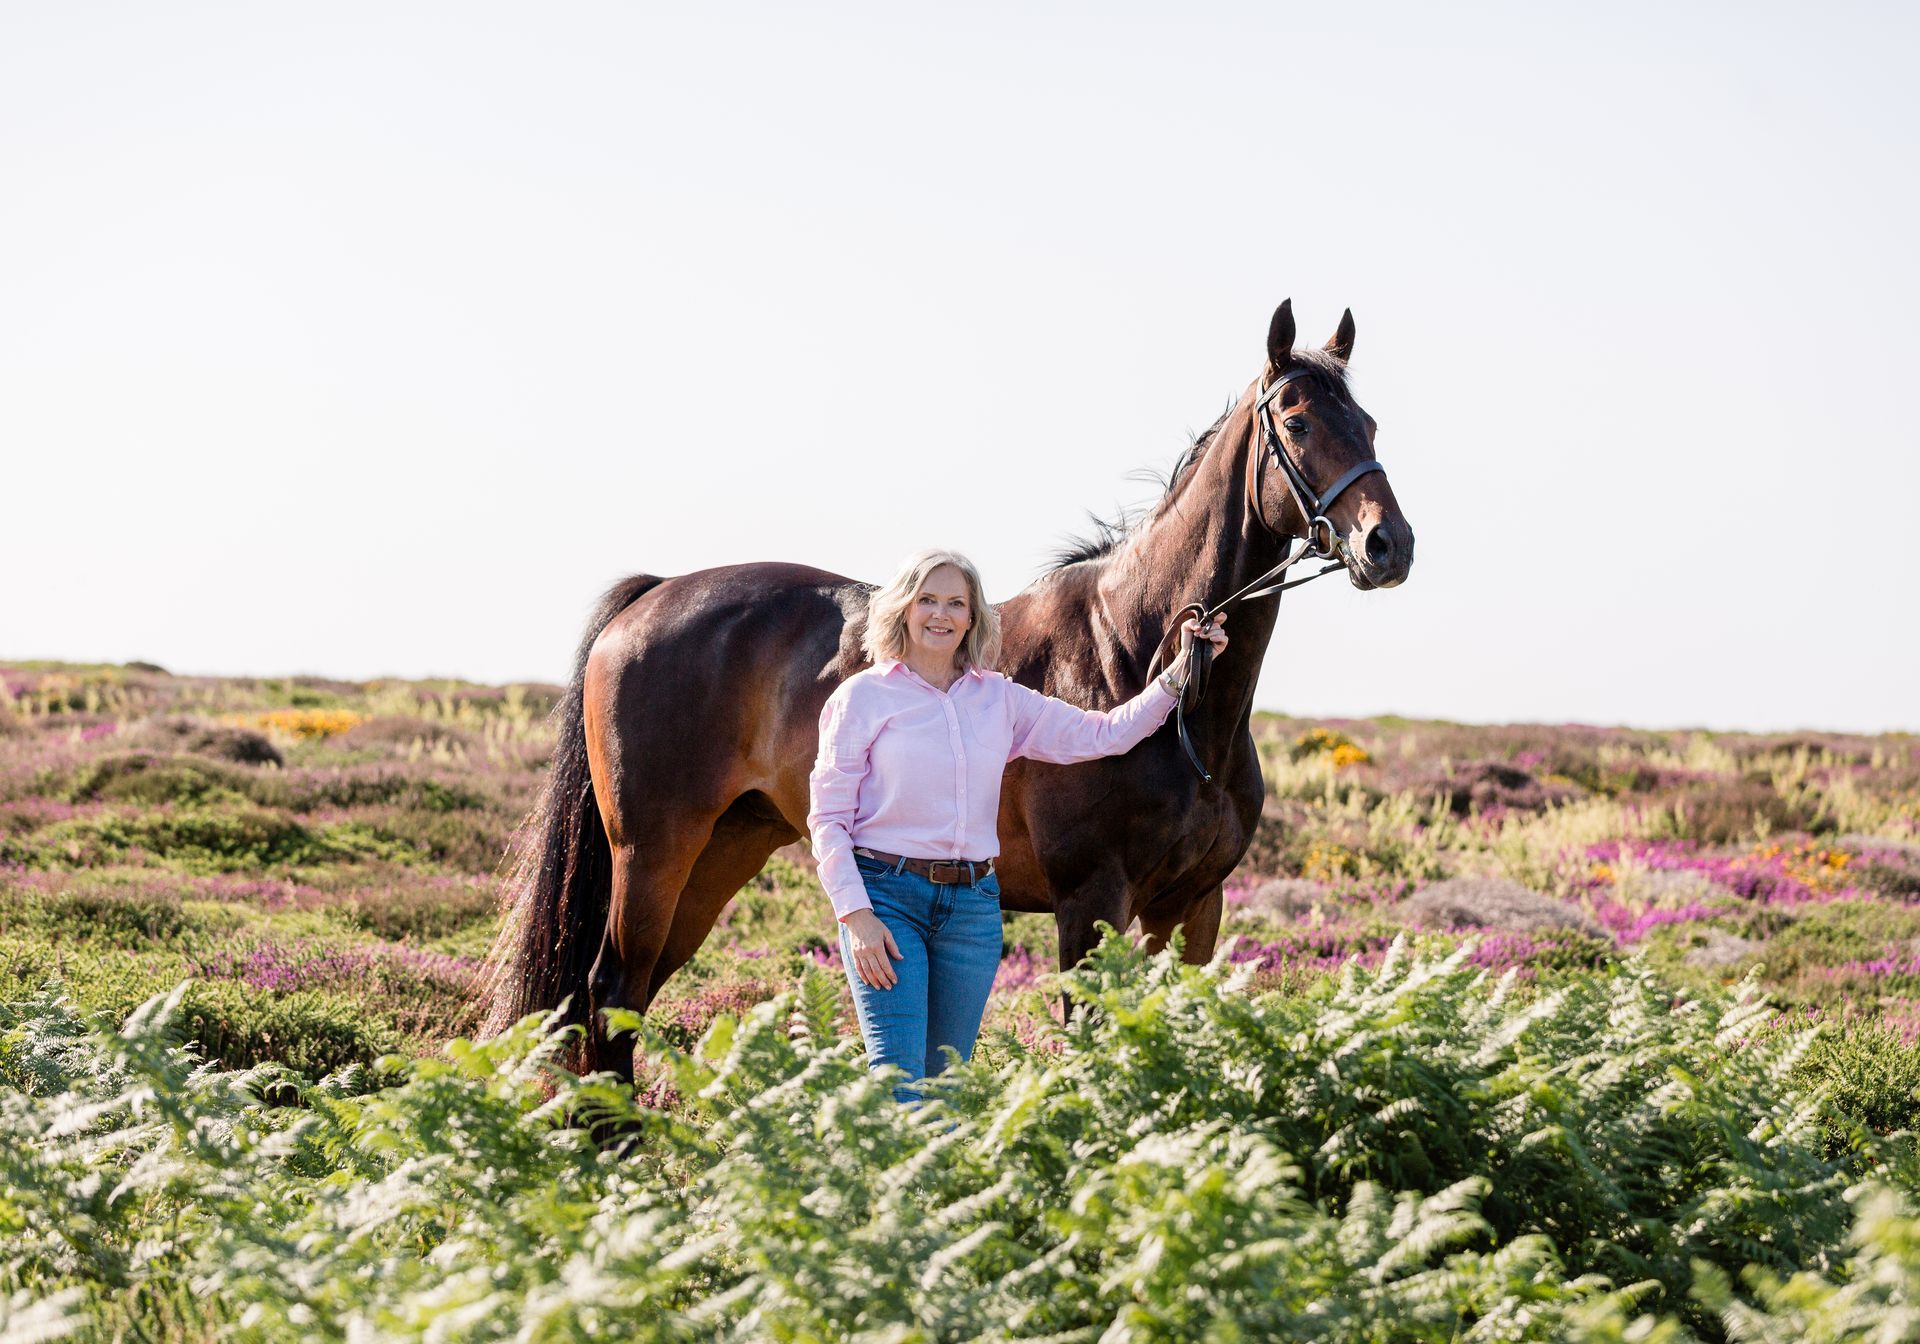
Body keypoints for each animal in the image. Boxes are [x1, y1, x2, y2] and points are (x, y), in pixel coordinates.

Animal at [483, 300, 1415, 1076]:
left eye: (1369, 421)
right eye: (1296, 421)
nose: (1389, 544)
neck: (1147, 663)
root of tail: (651, 597)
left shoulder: (1191, 908)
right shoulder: (1092, 903)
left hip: (723, 851)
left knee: (628, 996)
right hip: (654, 852)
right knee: (610, 989)